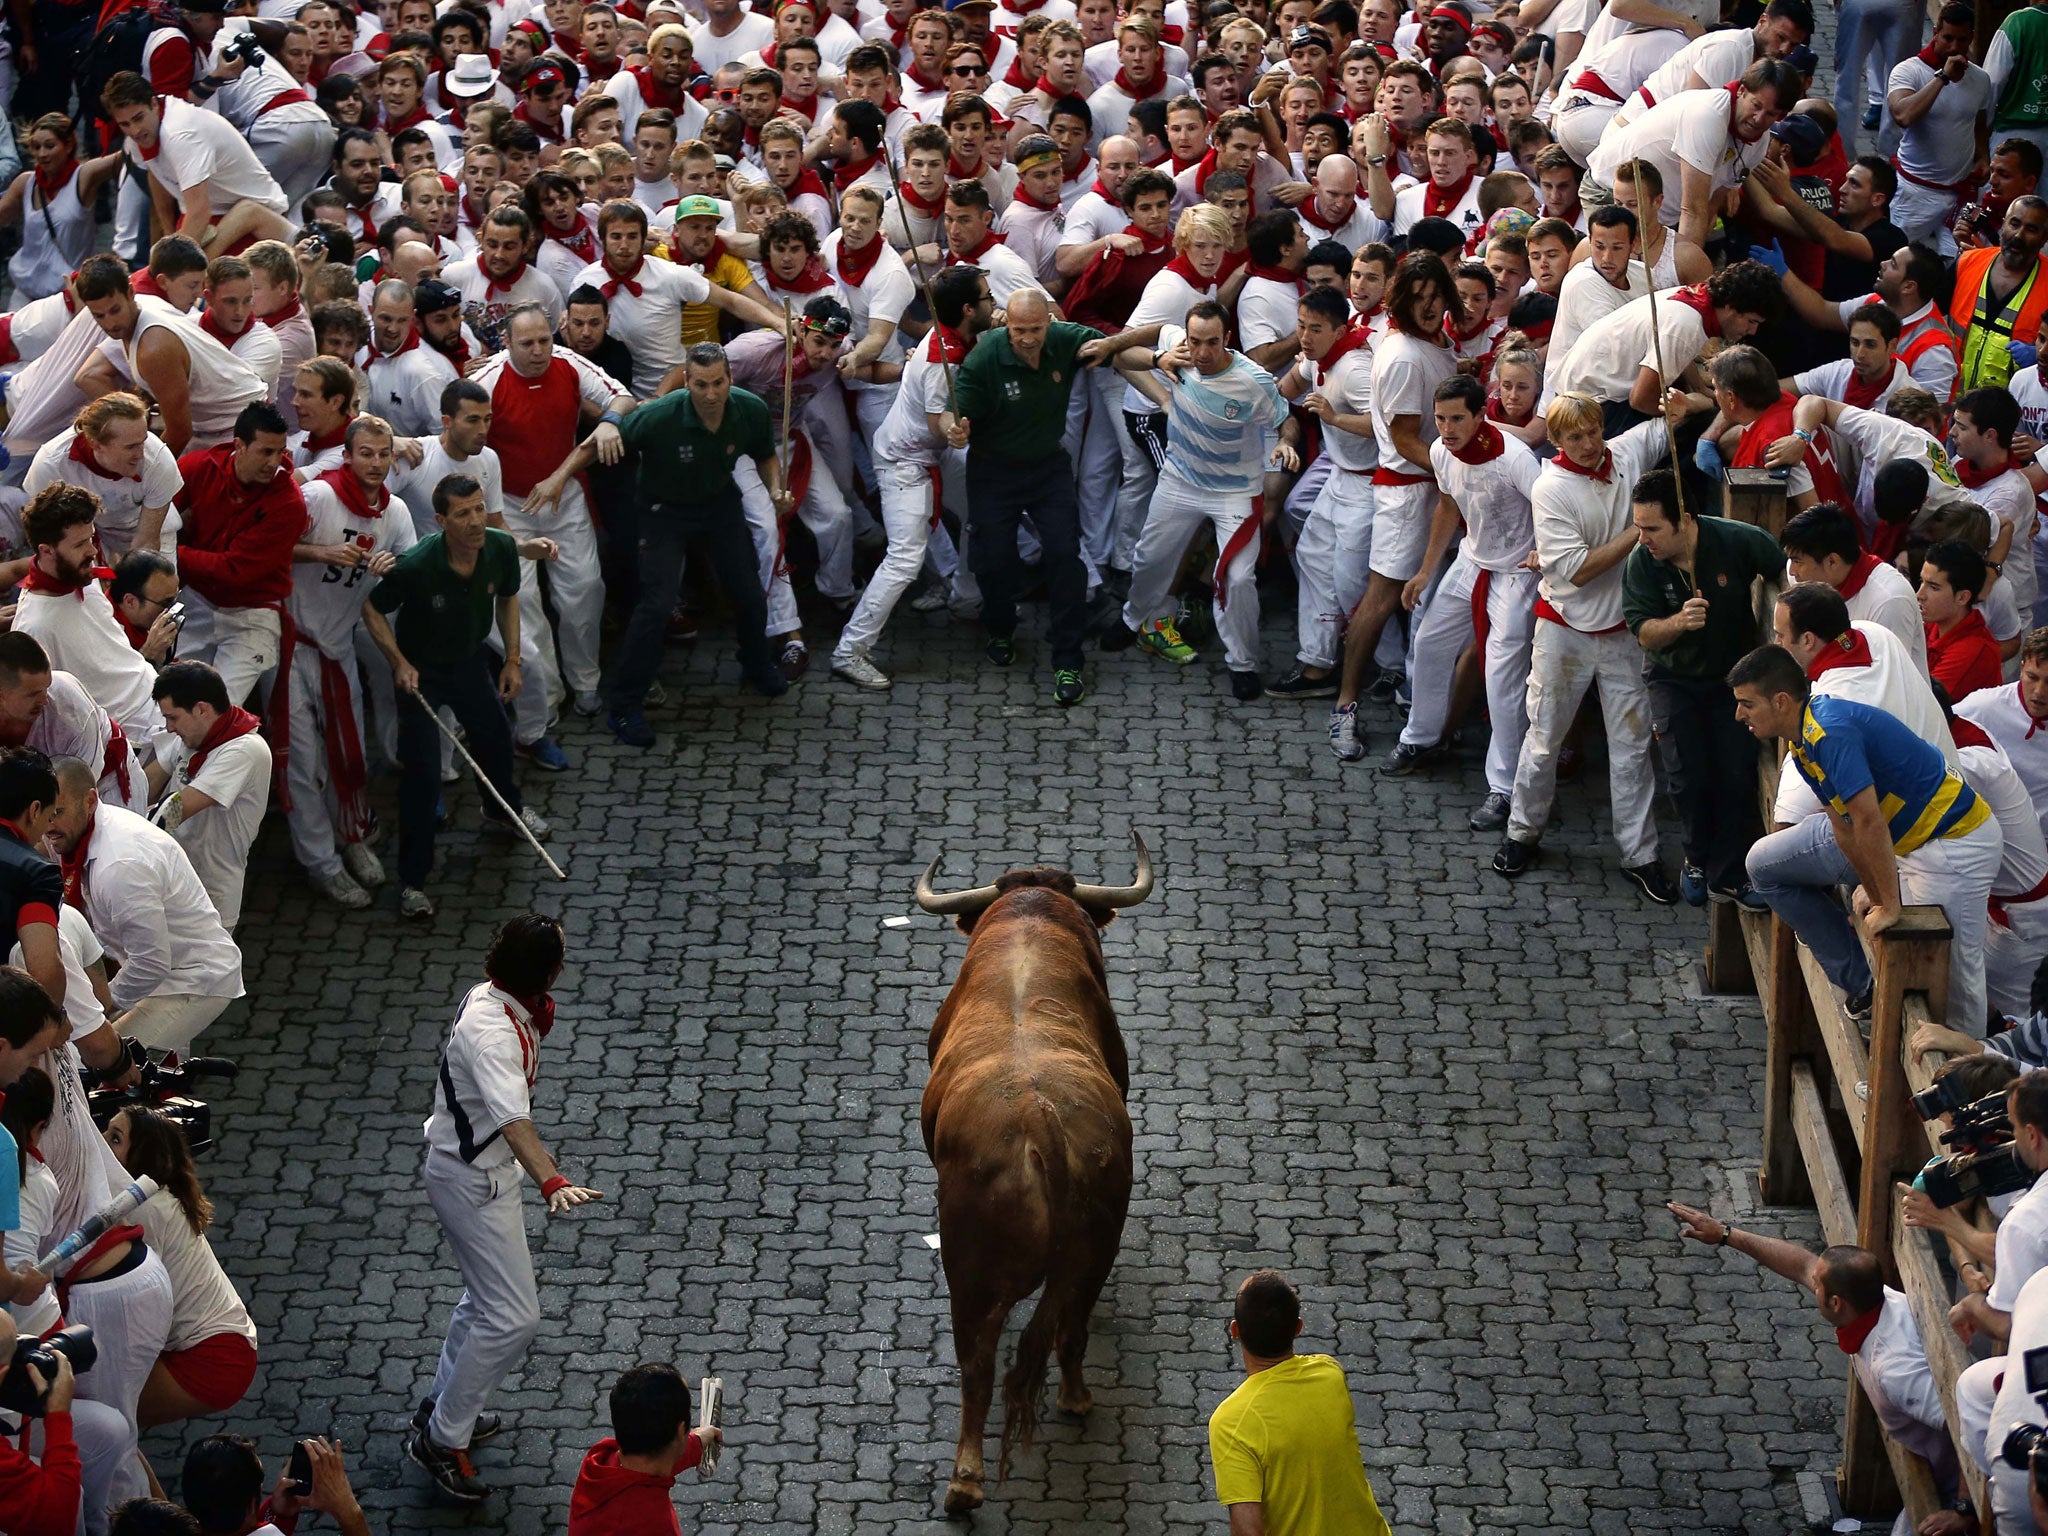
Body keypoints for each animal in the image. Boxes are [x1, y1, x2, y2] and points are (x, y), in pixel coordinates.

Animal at [917, 835, 1155, 1523]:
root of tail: (1040, 1119)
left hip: (969, 1269)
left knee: (977, 1364)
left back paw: (966, 1482)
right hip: (1095, 1249)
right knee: (1069, 1327)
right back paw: (1073, 1401)